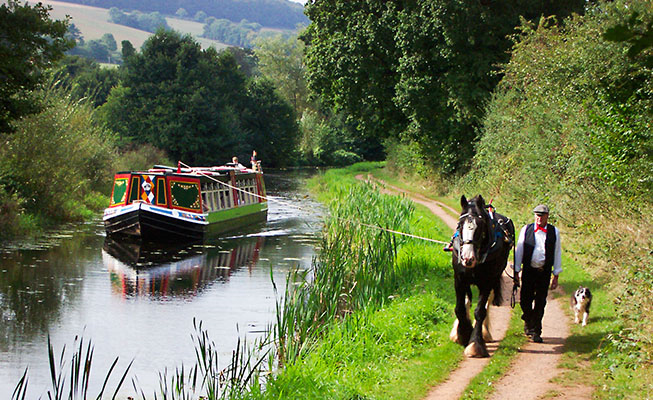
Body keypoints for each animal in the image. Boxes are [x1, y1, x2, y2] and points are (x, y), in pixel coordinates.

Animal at [448, 194, 516, 356]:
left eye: (480, 226)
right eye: (460, 225)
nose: (468, 258)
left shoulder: (487, 282)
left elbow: (480, 311)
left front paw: (475, 344)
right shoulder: (459, 280)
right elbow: (459, 309)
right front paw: (462, 333)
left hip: (494, 278)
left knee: (486, 304)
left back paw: (484, 332)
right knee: (468, 300)